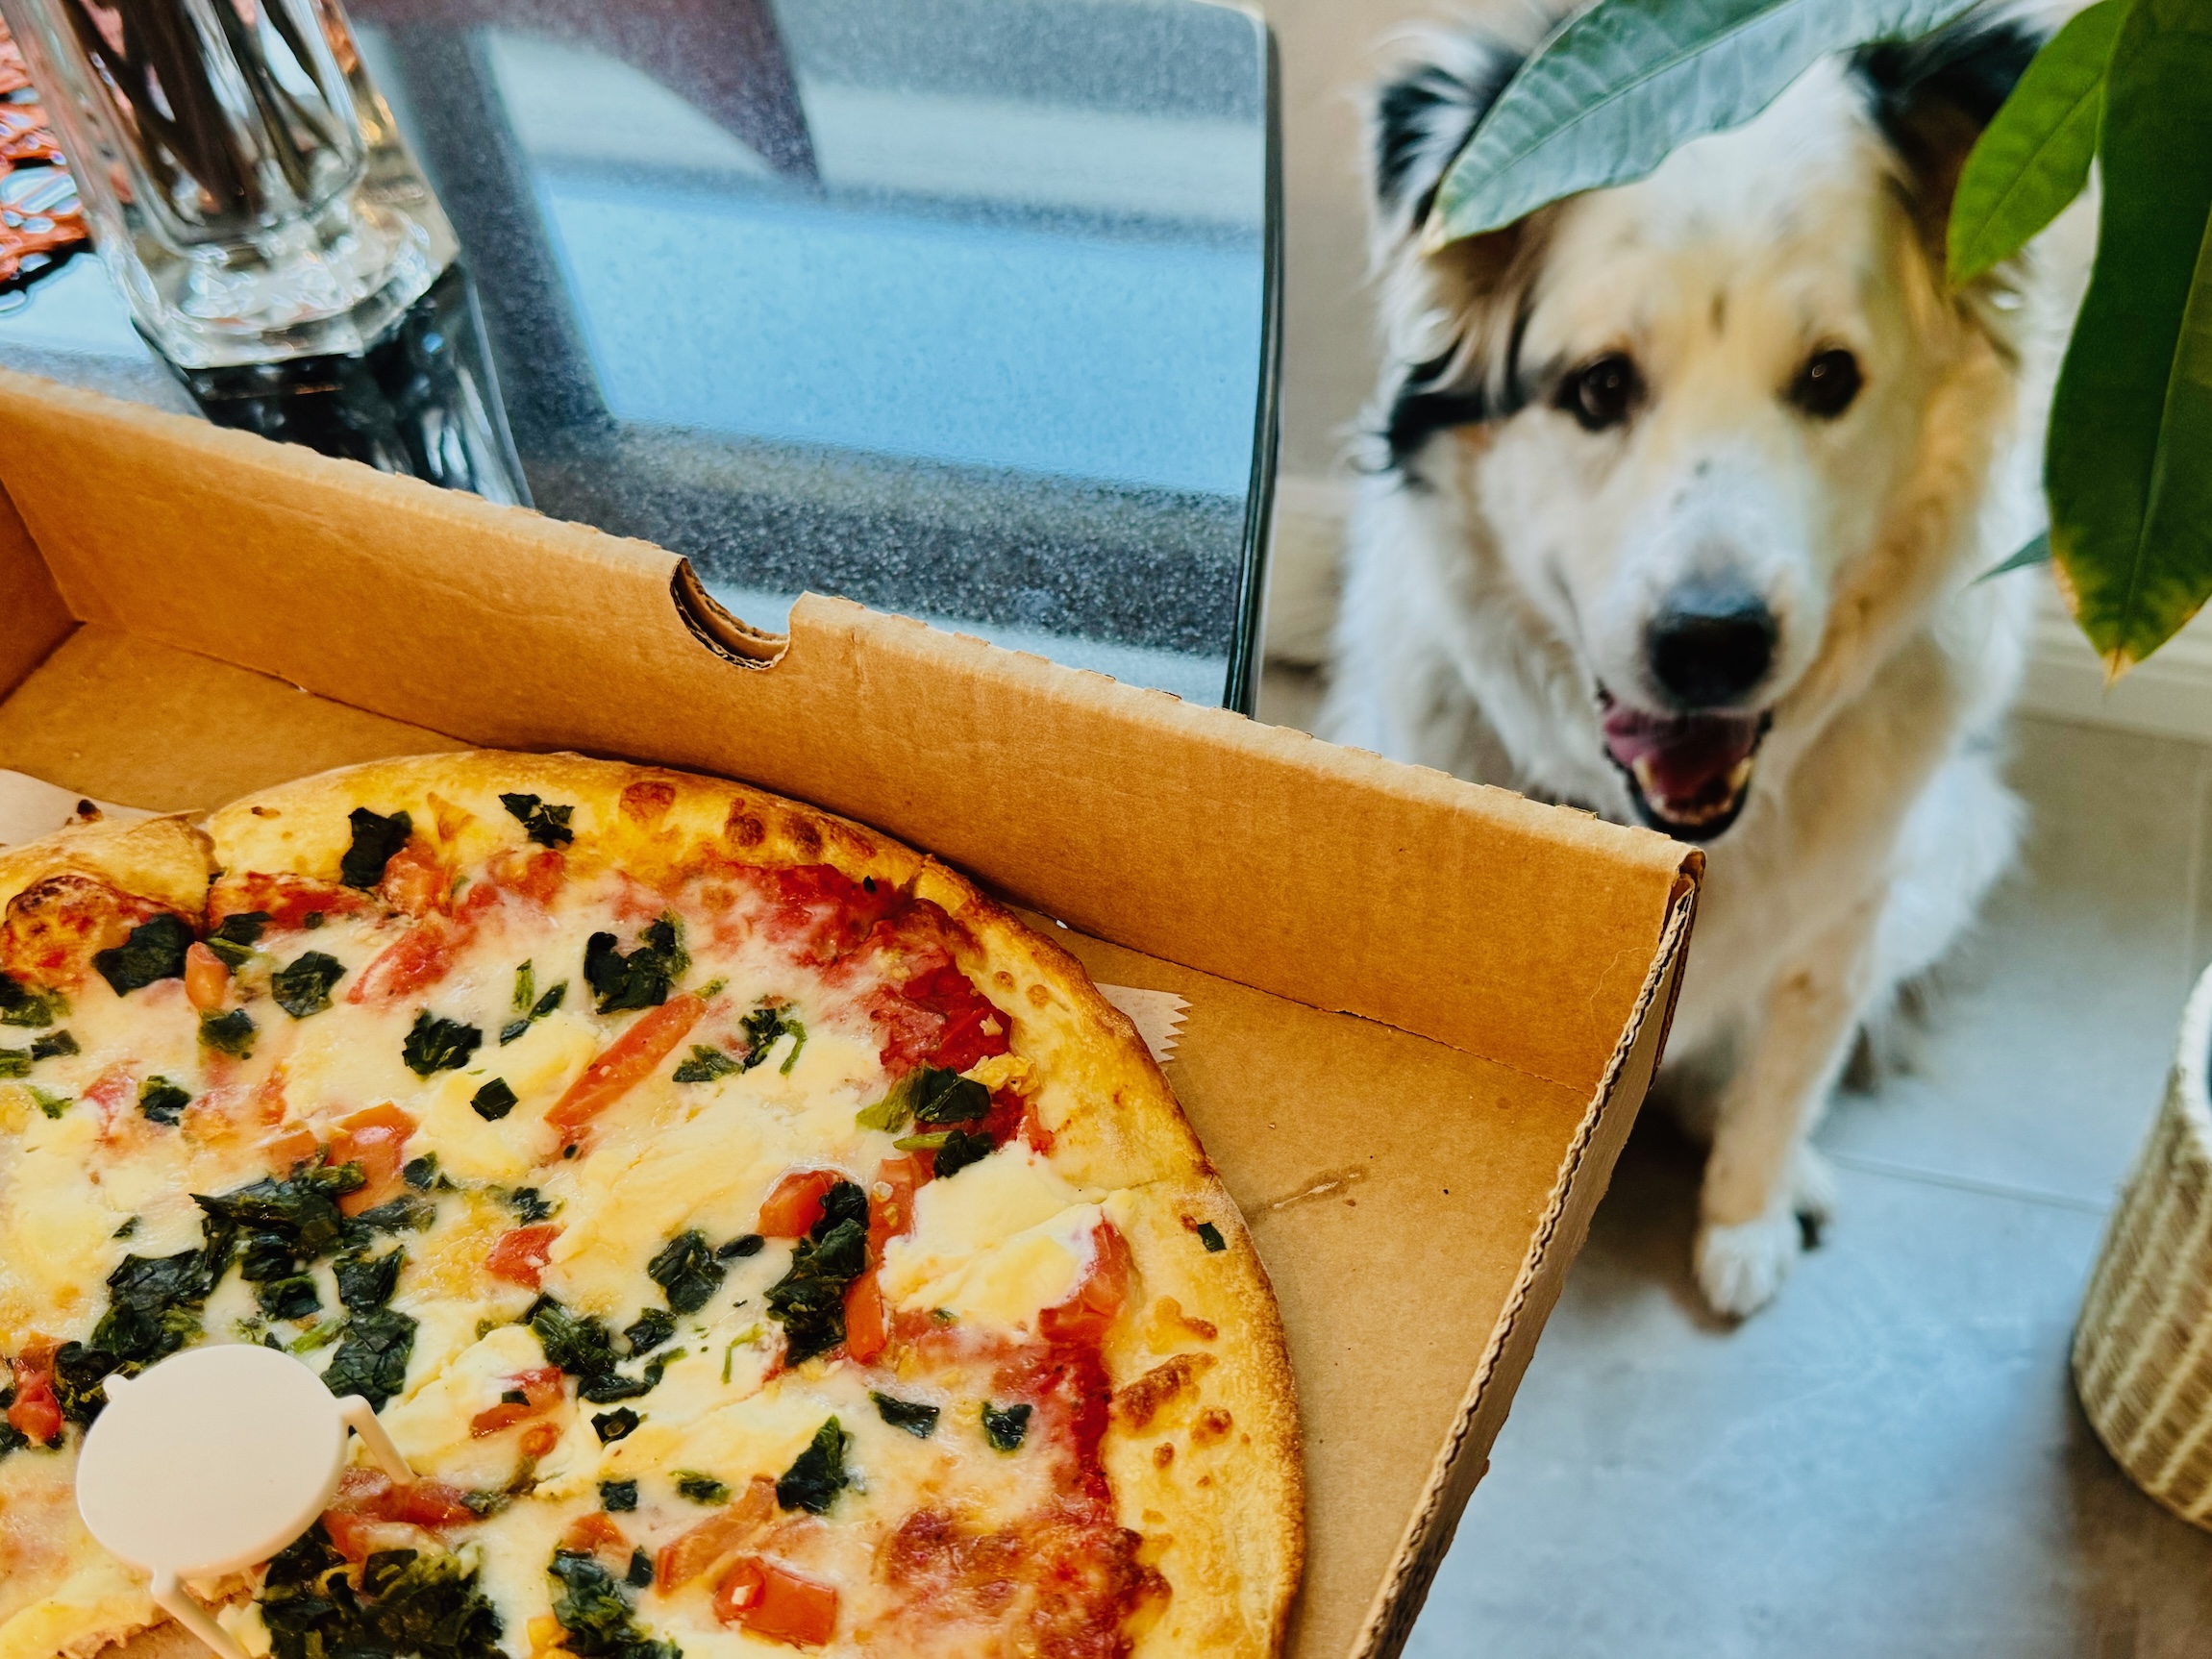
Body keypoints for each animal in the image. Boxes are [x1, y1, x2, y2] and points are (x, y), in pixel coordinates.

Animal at [1320, 7, 2082, 1315]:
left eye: (1830, 377)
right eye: (1597, 387)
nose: (1713, 645)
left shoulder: (1852, 909)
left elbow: (1788, 1071)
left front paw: (1749, 1216)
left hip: (1961, 836)